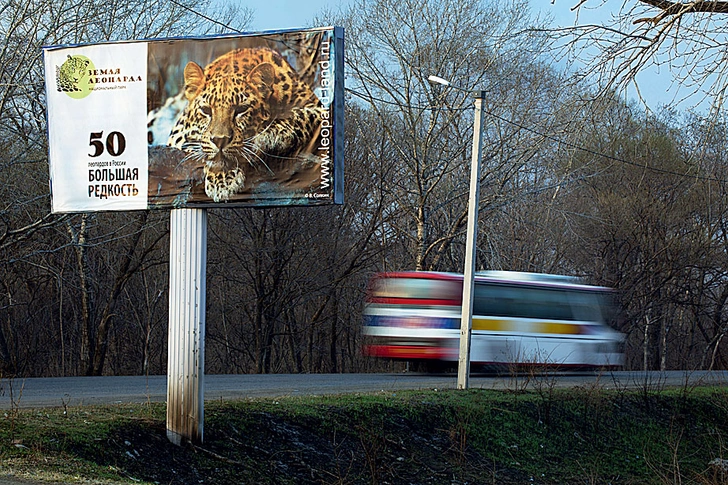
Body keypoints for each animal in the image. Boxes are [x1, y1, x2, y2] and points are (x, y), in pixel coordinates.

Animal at [166, 46, 326, 201]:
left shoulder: (319, 109)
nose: (220, 140)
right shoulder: (178, 135)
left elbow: (300, 115)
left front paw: (271, 135)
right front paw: (221, 179)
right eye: (206, 110)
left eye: (241, 109)